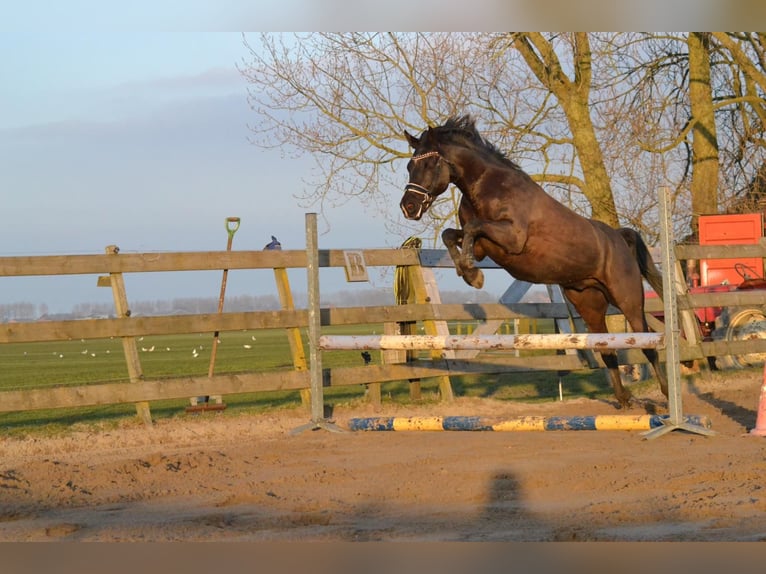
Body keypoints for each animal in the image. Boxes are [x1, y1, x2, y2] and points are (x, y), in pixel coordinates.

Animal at [402, 116, 664, 410]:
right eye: (410, 166)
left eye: (428, 164)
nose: (408, 207)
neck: (488, 187)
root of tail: (618, 237)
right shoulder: (484, 245)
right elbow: (453, 234)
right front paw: (470, 273)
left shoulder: (512, 237)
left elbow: (471, 228)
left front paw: (472, 274)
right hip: (589, 304)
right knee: (606, 349)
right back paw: (625, 399)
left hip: (628, 300)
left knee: (648, 346)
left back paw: (666, 397)